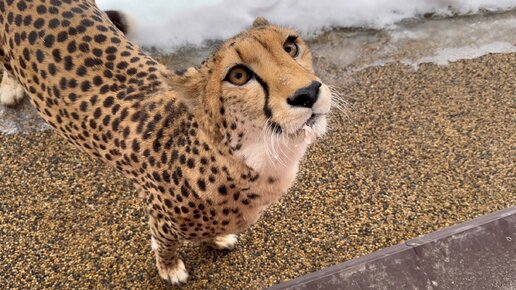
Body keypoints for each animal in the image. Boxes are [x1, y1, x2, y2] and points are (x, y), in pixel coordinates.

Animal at [0, 0, 332, 286]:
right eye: (238, 75)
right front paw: (170, 269)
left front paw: (217, 238)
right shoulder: (161, 218)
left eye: (290, 46)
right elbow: (165, 243)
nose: (308, 93)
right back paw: (10, 88)